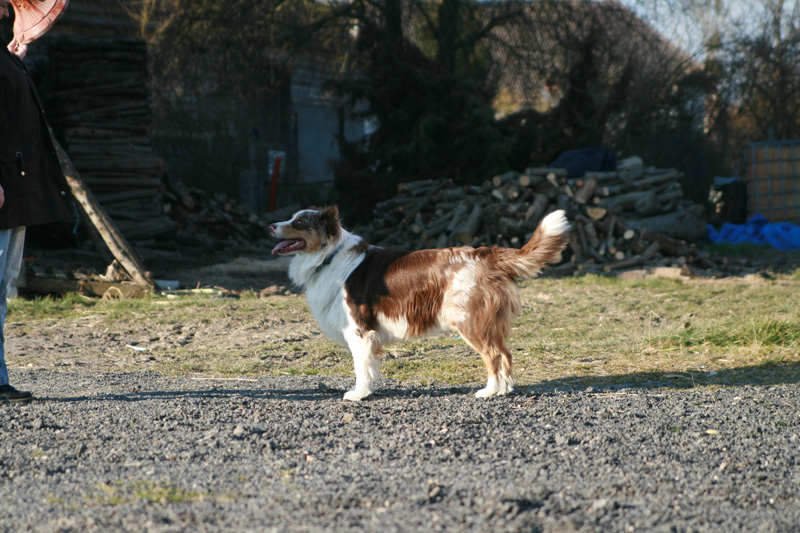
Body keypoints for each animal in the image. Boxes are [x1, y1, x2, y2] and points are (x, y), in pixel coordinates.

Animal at [268, 206, 568, 402]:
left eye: (299, 221)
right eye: (291, 217)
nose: (270, 226)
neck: (328, 256)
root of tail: (487, 254)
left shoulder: (359, 331)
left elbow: (360, 368)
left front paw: (358, 394)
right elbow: (370, 366)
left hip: (471, 322)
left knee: (493, 355)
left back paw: (489, 392)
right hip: (488, 324)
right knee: (505, 354)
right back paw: (503, 390)